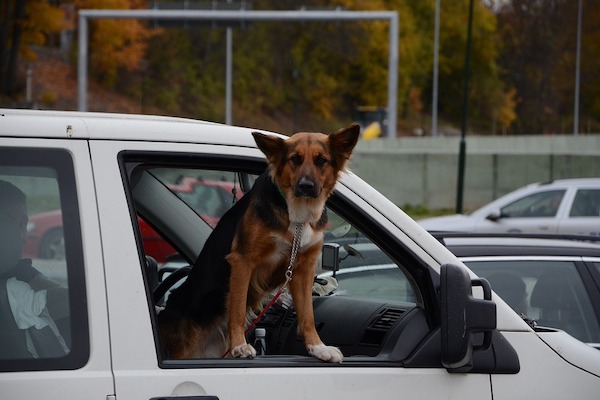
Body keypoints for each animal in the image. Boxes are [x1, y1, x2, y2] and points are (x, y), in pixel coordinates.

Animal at [157, 122, 358, 362]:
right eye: (295, 159)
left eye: (321, 160)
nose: (306, 186)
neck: (296, 213)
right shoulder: (243, 260)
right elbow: (237, 309)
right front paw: (240, 345)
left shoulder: (302, 269)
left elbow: (307, 314)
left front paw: (317, 347)